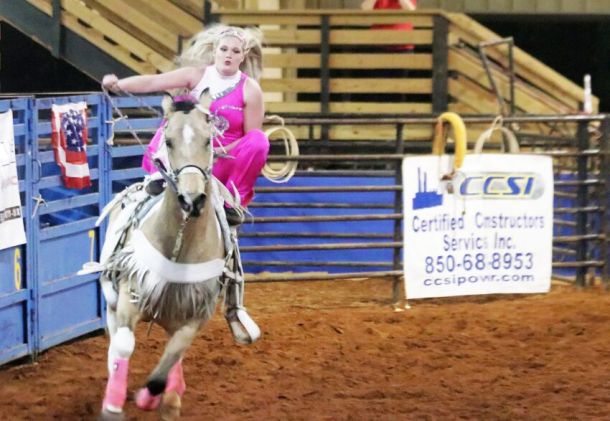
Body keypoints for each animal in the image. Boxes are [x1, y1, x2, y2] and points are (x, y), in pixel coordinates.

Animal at [95, 93, 256, 419]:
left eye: (208, 140)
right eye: (168, 141)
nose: (191, 199)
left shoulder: (195, 314)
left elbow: (172, 356)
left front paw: (153, 397)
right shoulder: (132, 294)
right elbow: (125, 345)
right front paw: (113, 405)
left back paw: (171, 395)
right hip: (112, 300)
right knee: (116, 339)